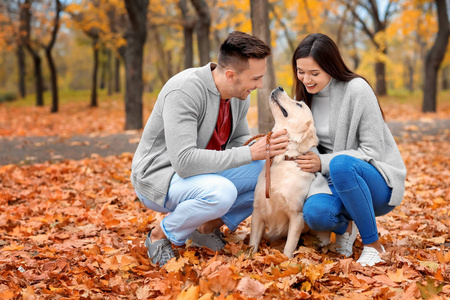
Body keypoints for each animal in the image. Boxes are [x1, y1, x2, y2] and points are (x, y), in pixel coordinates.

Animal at [248, 86, 328, 258]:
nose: (280, 87)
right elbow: (253, 243)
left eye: (299, 104)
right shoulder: (257, 210)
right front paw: (249, 258)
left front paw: (285, 261)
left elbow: (289, 247)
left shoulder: (296, 215)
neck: (284, 158)